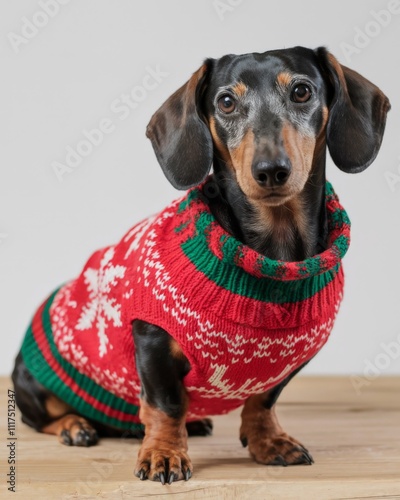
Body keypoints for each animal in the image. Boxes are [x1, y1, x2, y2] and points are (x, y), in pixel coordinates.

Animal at [13, 47, 390, 484]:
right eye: (225, 101)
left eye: (301, 91)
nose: (271, 170)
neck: (271, 251)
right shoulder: (152, 340)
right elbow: (165, 404)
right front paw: (163, 453)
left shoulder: (289, 364)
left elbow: (263, 401)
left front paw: (268, 441)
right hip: (33, 383)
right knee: (42, 418)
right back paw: (76, 425)